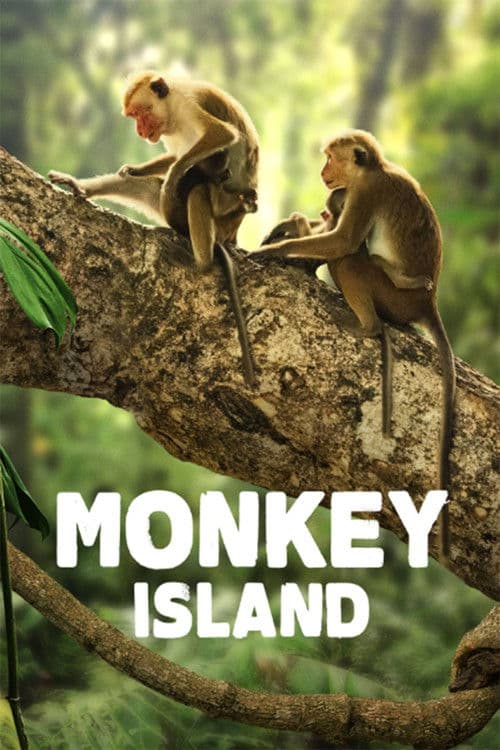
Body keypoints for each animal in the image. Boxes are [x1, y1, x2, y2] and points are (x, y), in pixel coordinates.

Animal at [49, 70, 259, 387]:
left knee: (198, 190)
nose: (139, 131)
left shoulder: (188, 105)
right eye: (133, 116)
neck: (172, 109)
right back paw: (83, 187)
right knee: (147, 188)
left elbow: (221, 135)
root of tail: (232, 233)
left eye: (141, 113)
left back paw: (200, 262)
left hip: (223, 216)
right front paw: (138, 168)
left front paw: (175, 173)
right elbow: (164, 161)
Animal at [256, 130, 455, 560]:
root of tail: (426, 303)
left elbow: (343, 241)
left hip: (393, 294)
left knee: (349, 258)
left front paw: (272, 250)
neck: (375, 170)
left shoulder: (365, 194)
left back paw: (366, 325)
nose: (323, 172)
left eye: (331, 158)